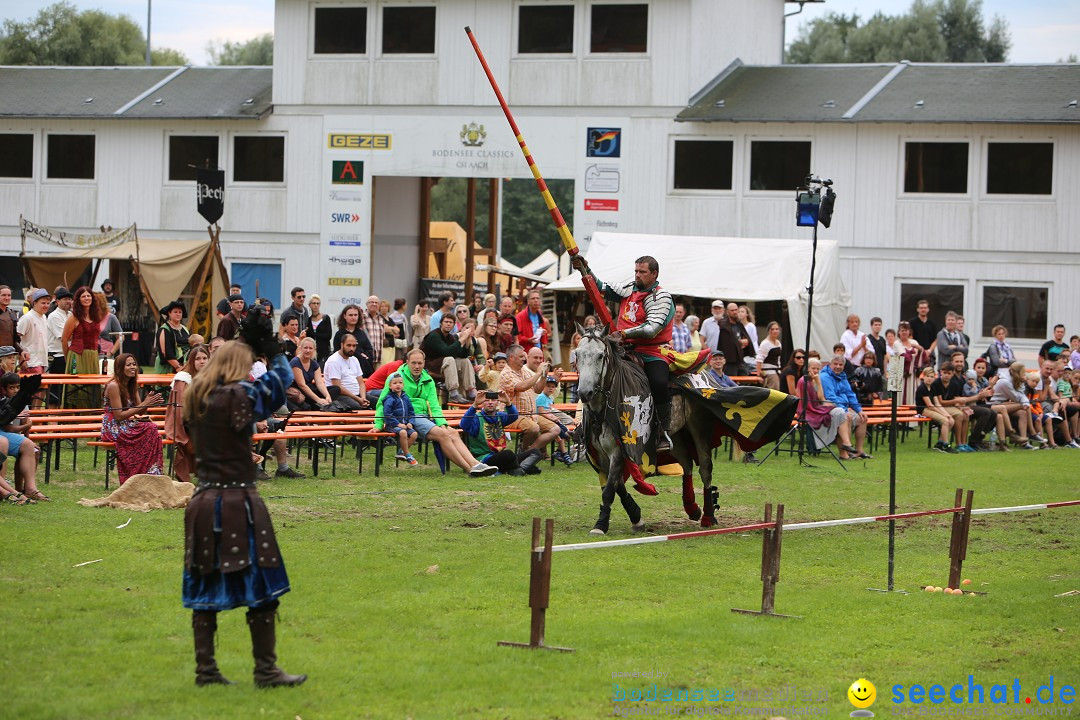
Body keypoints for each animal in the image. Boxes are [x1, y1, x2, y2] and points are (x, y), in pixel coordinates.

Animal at [574, 325, 717, 535]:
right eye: (577, 354)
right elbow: (617, 486)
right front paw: (636, 517)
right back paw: (692, 508)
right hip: (675, 436)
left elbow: (609, 490)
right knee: (686, 464)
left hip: (699, 426)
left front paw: (600, 525)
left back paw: (708, 516)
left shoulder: (619, 451)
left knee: (705, 467)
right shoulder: (598, 455)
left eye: (600, 356)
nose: (585, 393)